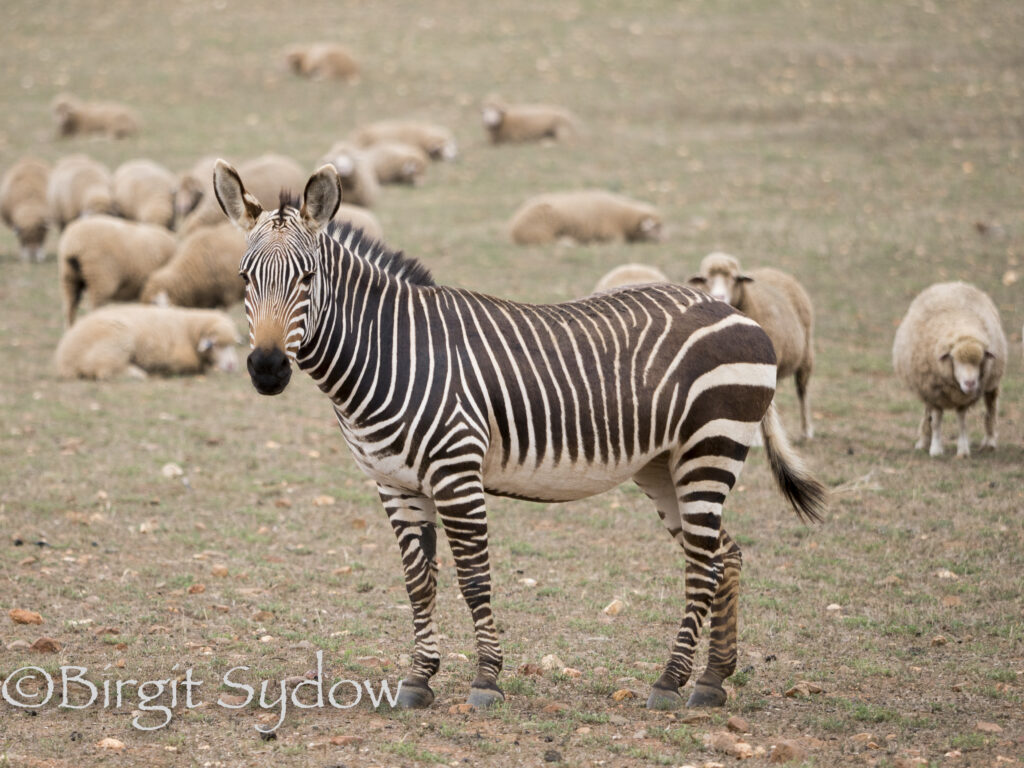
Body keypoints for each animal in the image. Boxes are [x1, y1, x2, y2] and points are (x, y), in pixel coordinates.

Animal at [213, 160, 827, 711]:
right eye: (244, 279)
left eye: (307, 278)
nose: (266, 369)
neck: (392, 353)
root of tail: (739, 314)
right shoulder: (394, 484)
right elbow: (419, 582)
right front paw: (418, 680)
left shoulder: (456, 475)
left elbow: (474, 579)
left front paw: (486, 680)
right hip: (663, 466)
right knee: (727, 555)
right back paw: (713, 680)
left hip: (709, 449)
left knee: (703, 566)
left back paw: (670, 683)